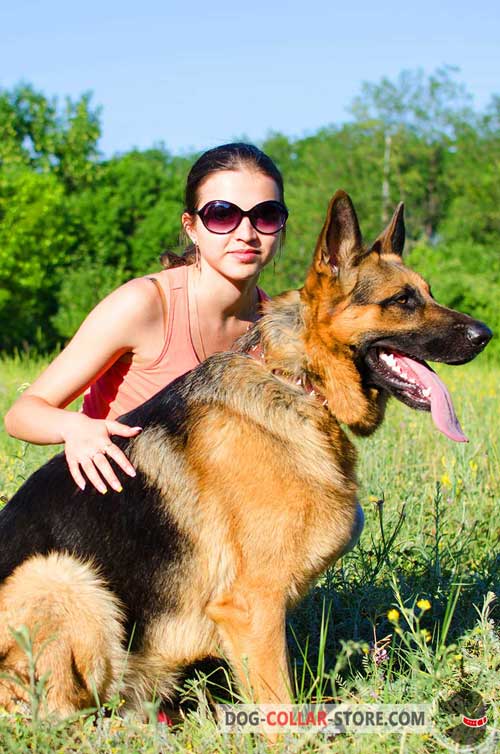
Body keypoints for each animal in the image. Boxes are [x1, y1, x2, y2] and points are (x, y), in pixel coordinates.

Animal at [0, 191, 492, 712]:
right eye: (402, 301)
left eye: (428, 292)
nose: (485, 335)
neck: (298, 380)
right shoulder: (252, 606)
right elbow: (280, 705)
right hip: (61, 576)